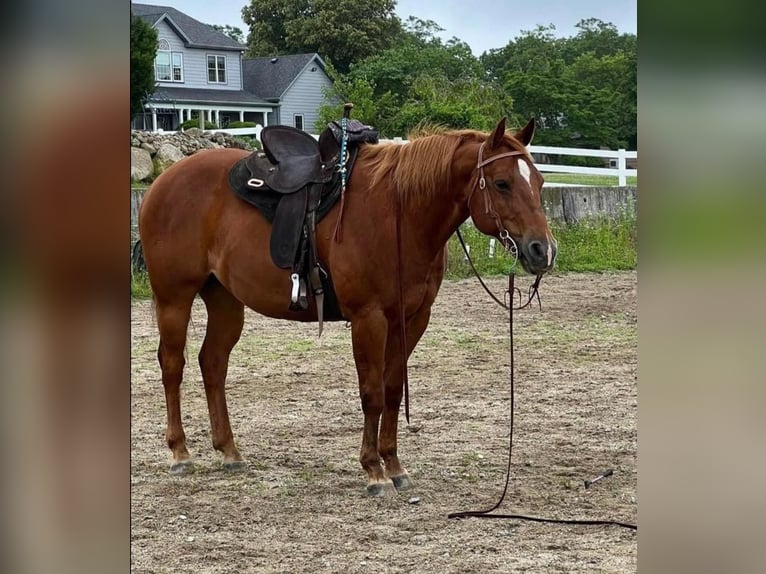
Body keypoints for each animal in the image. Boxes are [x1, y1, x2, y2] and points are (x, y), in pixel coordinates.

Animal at [138, 118, 560, 500]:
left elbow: (392, 390)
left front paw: (394, 465)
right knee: (173, 366)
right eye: (503, 183)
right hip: (174, 298)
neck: (399, 213)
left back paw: (229, 451)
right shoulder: (368, 318)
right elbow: (371, 393)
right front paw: (373, 472)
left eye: (539, 183)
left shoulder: (411, 320)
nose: (543, 250)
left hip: (225, 301)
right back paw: (180, 452)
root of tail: (164, 181)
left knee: (213, 363)